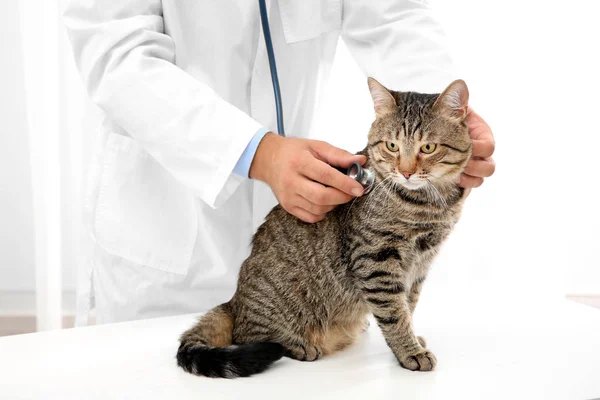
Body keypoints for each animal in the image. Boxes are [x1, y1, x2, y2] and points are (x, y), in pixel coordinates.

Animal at [176, 78, 472, 378]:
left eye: (428, 148)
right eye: (392, 146)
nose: (406, 172)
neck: (429, 204)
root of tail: (234, 301)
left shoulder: (420, 264)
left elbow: (408, 305)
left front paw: (412, 339)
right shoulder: (375, 258)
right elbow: (394, 313)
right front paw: (409, 350)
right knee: (249, 335)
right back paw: (296, 345)